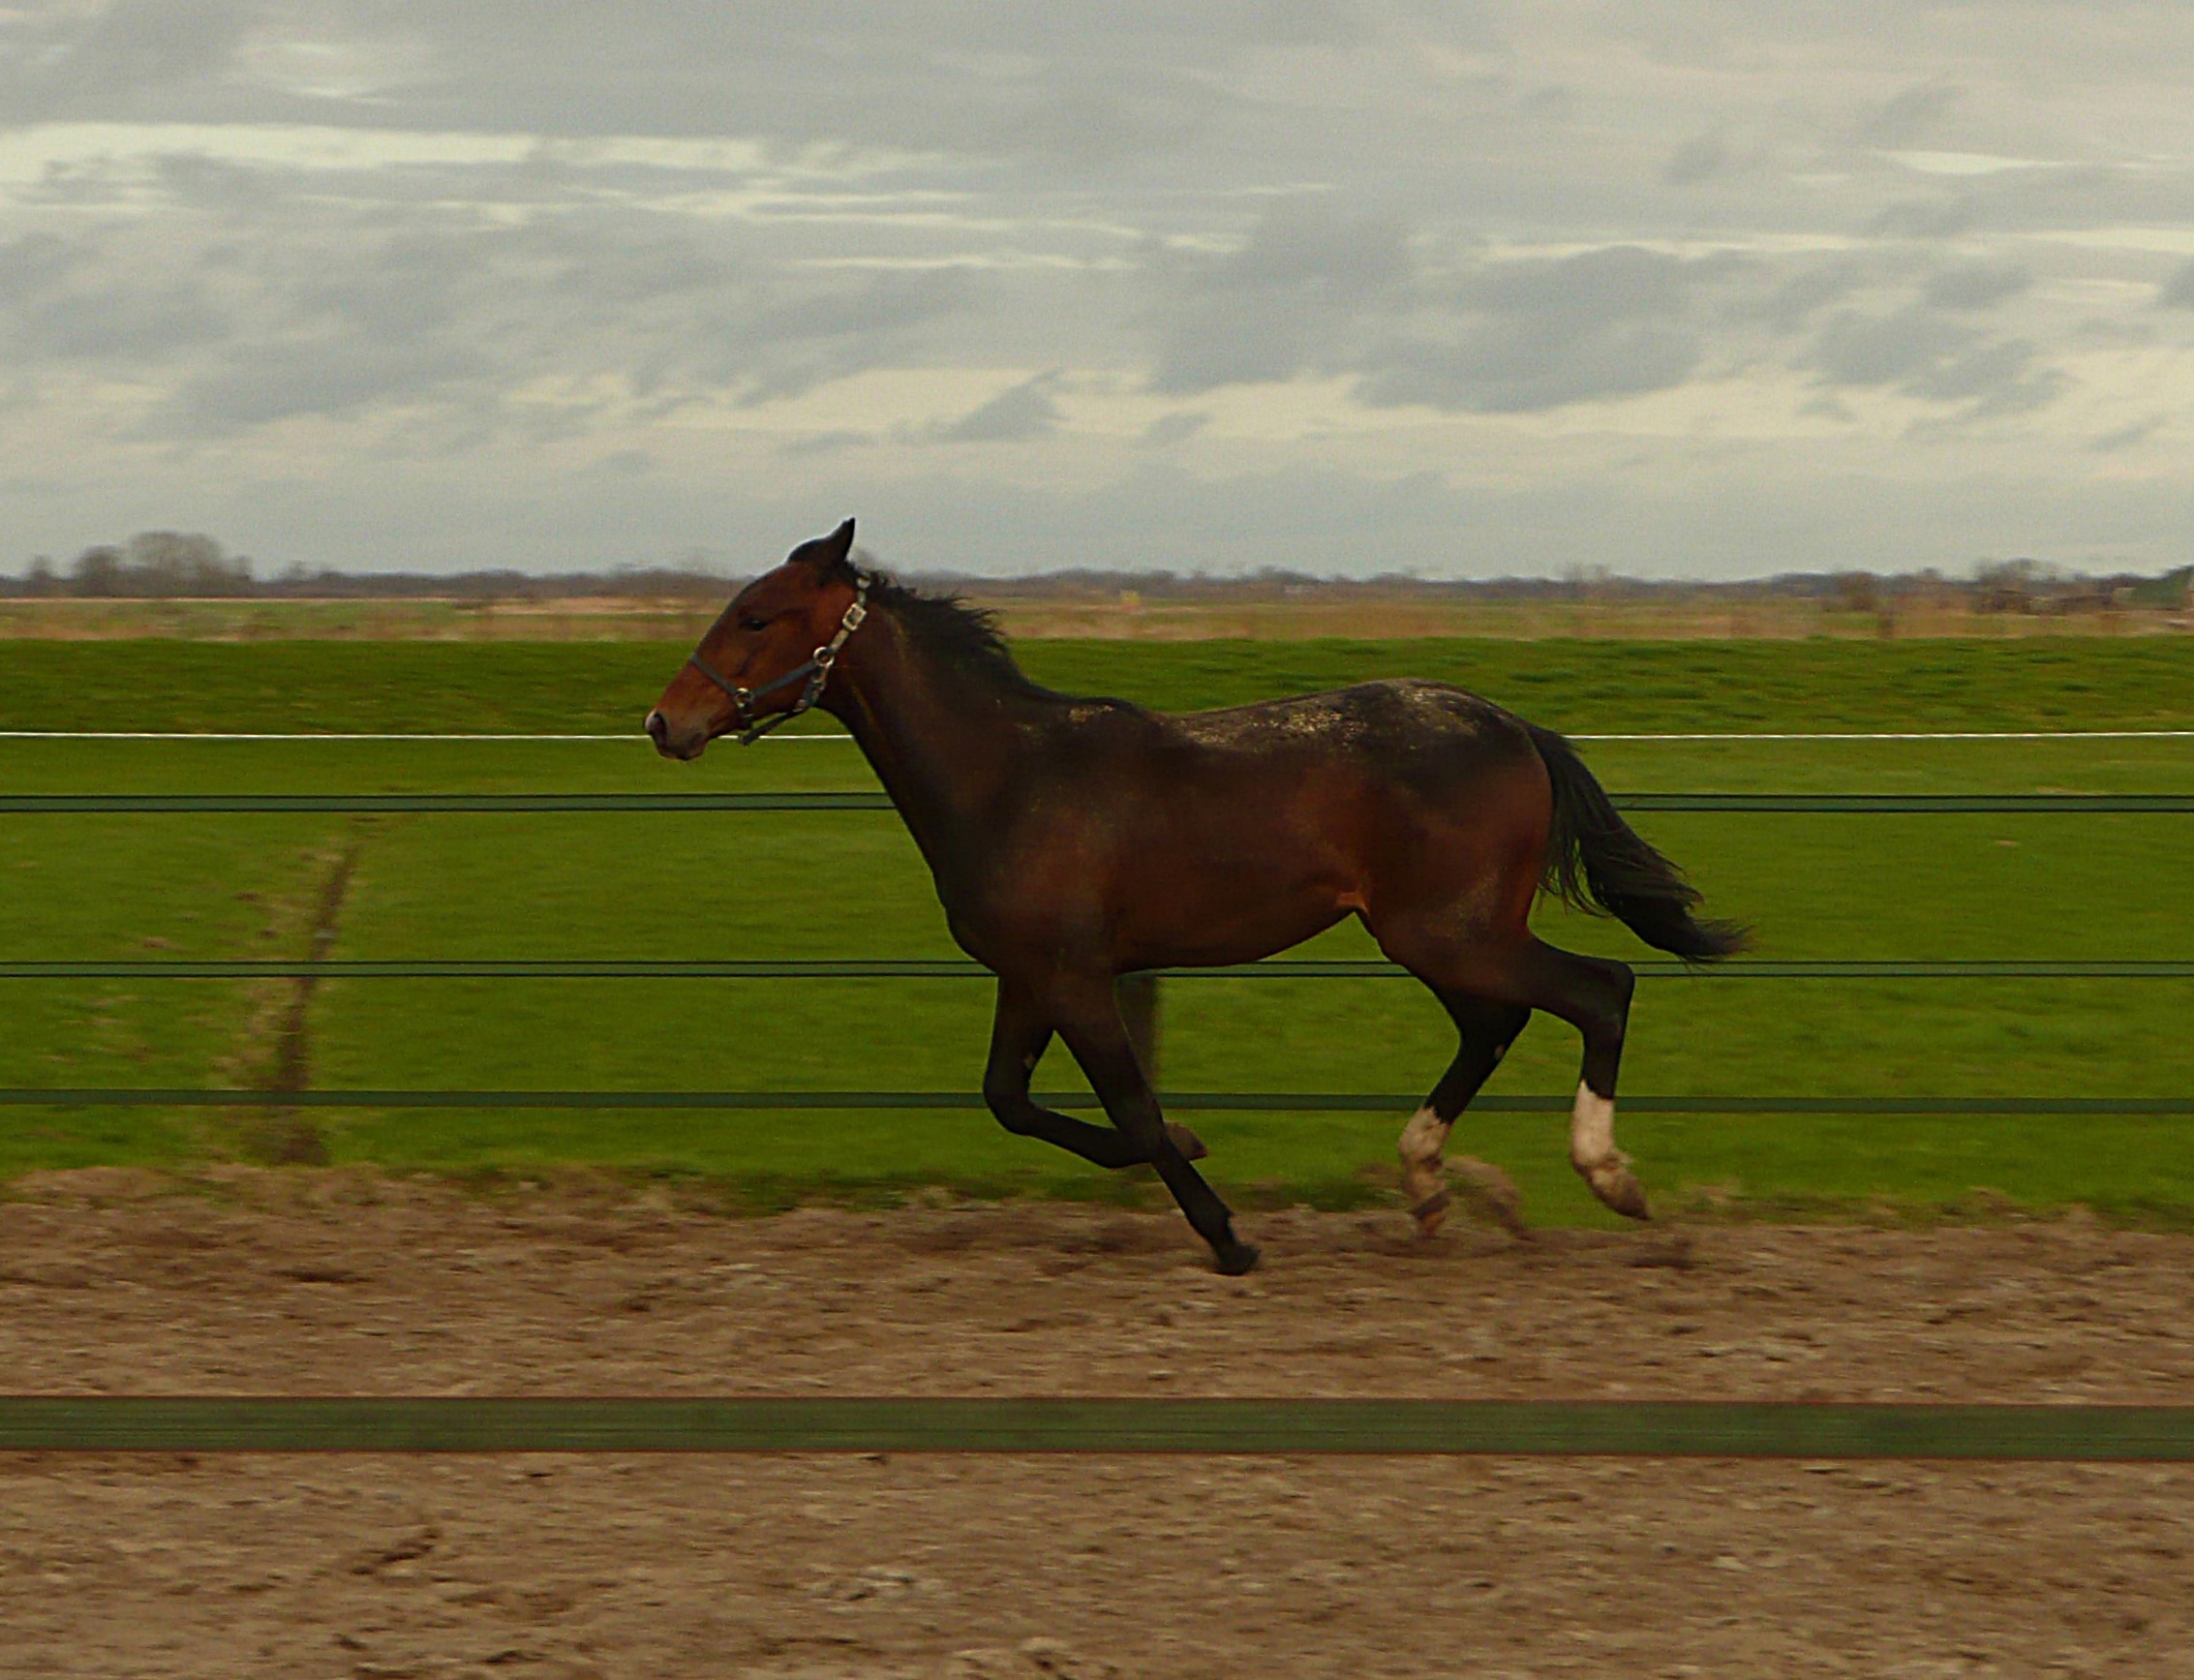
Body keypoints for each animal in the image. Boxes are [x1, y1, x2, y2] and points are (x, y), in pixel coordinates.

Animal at [646, 520, 1746, 1274]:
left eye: (754, 616)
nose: (666, 721)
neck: (1009, 776)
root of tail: (1516, 728)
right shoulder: (1029, 978)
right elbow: (1009, 1099)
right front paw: (1198, 1153)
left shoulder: (1076, 979)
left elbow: (1133, 1112)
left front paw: (1227, 1234)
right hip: (1438, 936)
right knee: (1495, 1025)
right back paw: (1427, 1188)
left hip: (1450, 931)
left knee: (1600, 989)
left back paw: (1609, 1177)